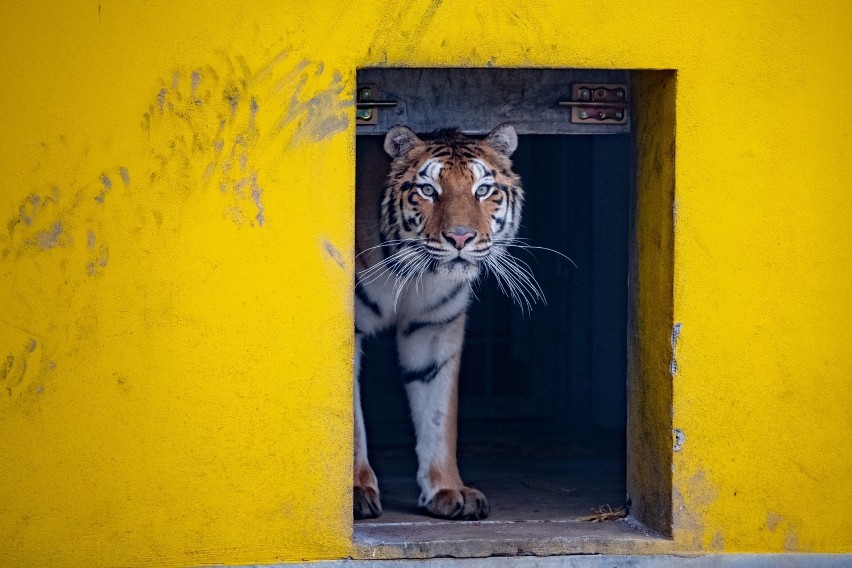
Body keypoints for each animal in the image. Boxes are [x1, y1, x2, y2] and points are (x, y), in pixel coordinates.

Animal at [352, 123, 524, 520]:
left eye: (483, 190)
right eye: (428, 190)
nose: (460, 237)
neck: (412, 275)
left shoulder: (434, 329)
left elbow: (439, 416)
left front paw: (448, 490)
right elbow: (349, 422)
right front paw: (355, 491)